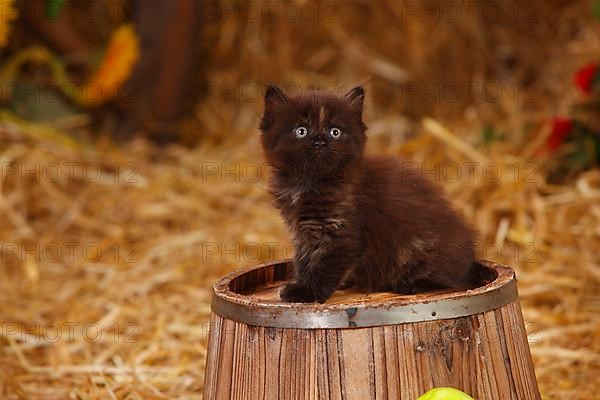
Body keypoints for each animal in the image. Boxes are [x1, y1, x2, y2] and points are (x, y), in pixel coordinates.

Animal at [258, 85, 478, 304]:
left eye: (335, 132)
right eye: (301, 131)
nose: (320, 142)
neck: (310, 183)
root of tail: (469, 259)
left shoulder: (341, 235)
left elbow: (323, 267)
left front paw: (306, 292)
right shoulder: (302, 233)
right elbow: (304, 262)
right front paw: (301, 284)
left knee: (443, 277)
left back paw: (409, 284)